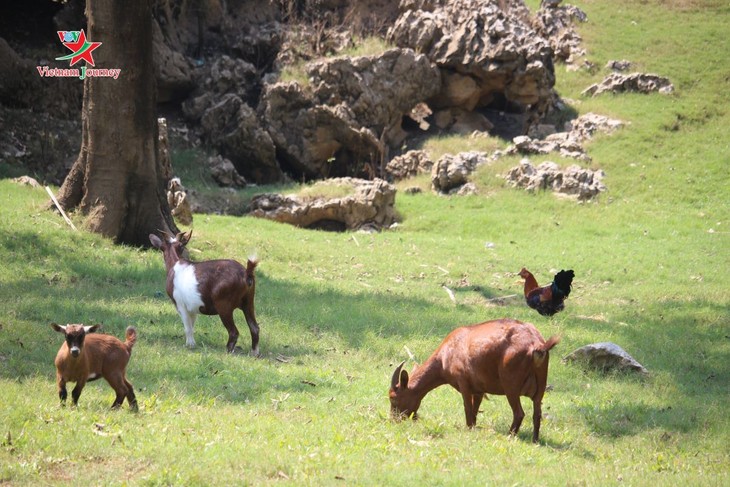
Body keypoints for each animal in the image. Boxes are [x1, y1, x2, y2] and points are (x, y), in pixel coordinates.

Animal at [390, 318, 560, 444]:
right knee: (537, 414)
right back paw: (535, 440)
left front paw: (468, 429)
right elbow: (475, 410)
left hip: (510, 385)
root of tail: (536, 345)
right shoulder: (479, 390)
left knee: (519, 413)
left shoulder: (463, 383)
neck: (445, 355)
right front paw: (473, 428)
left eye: (393, 398)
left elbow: (468, 408)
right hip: (541, 386)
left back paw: (510, 435)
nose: (394, 420)